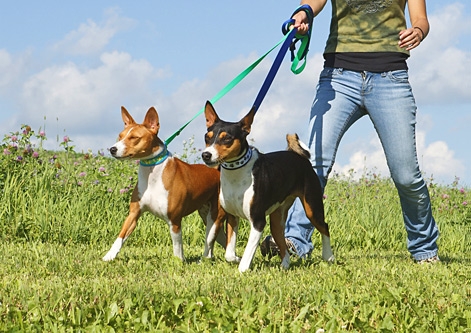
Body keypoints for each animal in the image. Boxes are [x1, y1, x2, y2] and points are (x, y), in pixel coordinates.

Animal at [103, 106, 240, 262]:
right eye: (120, 136)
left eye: (134, 138)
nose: (113, 149)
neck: (152, 177)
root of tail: (217, 171)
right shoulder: (134, 214)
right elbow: (120, 237)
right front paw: (108, 256)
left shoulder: (174, 221)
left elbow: (177, 248)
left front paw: (179, 263)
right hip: (206, 215)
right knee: (220, 239)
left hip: (214, 217)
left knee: (210, 240)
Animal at [201, 100, 334, 272]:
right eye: (207, 137)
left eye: (227, 139)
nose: (206, 155)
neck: (236, 174)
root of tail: (300, 157)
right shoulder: (232, 216)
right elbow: (229, 254)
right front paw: (236, 258)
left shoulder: (257, 221)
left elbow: (248, 252)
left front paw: (242, 268)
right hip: (276, 220)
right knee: (283, 244)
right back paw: (284, 266)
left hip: (312, 208)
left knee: (325, 227)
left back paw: (328, 256)